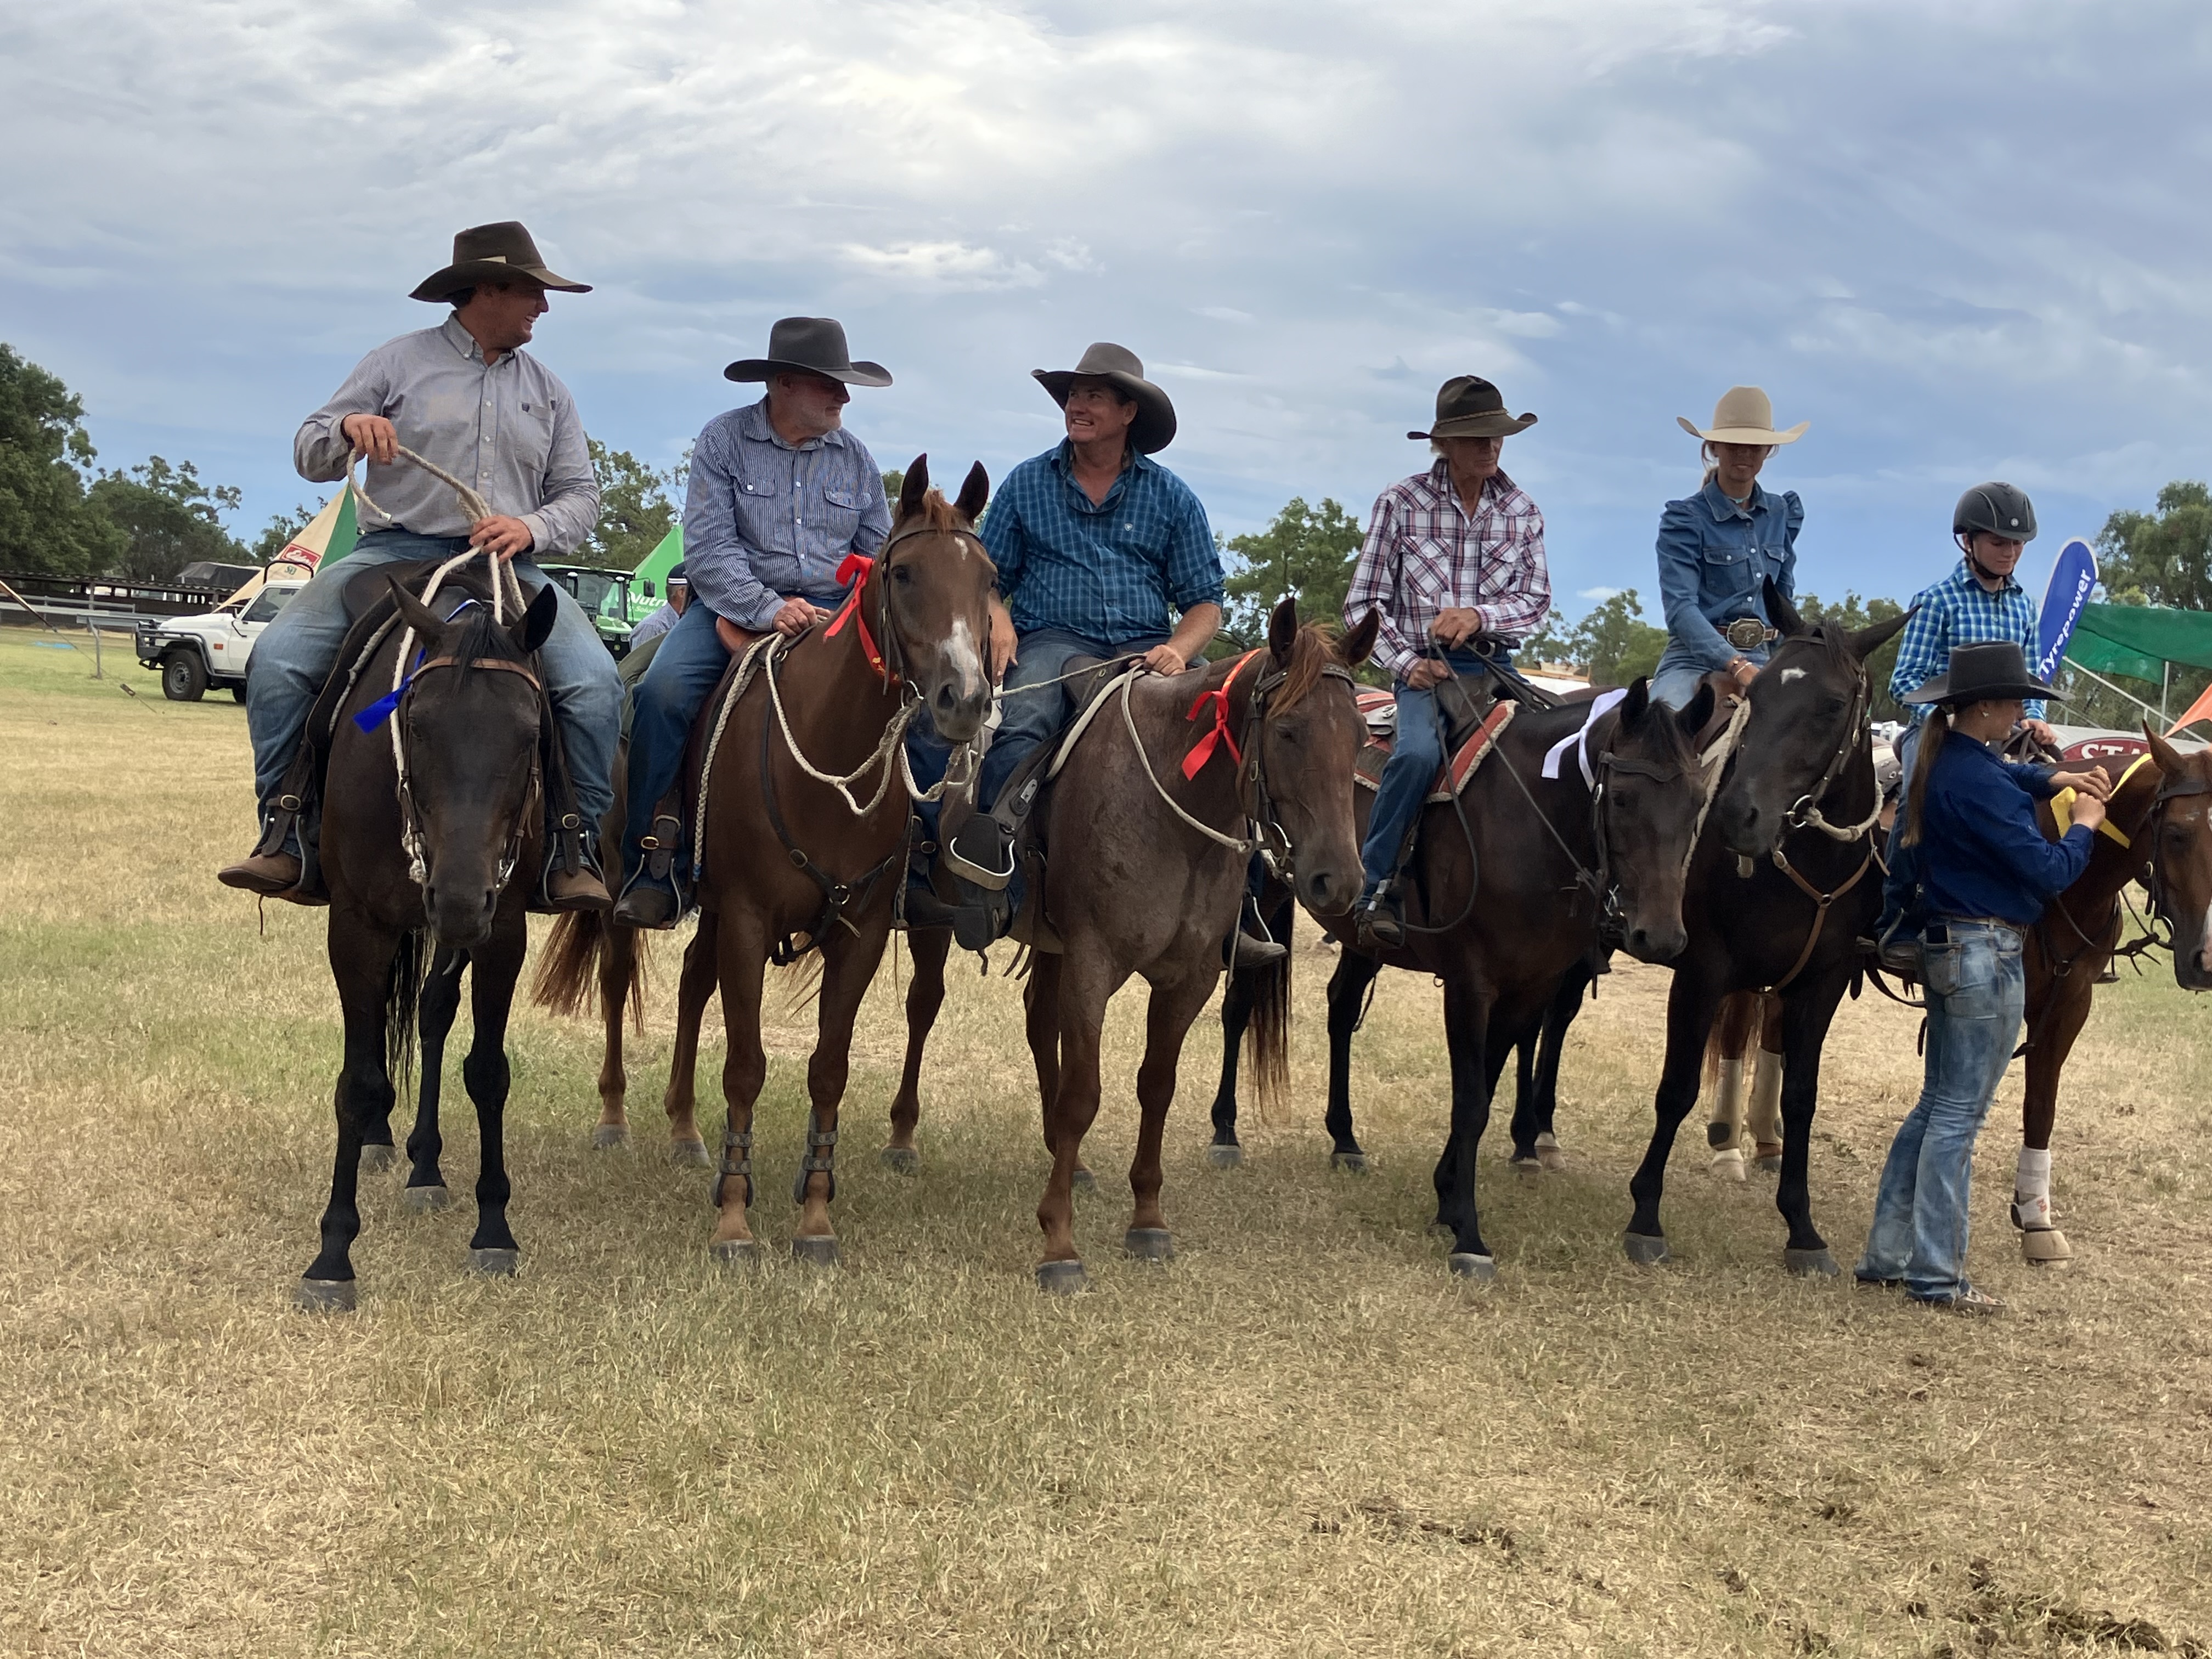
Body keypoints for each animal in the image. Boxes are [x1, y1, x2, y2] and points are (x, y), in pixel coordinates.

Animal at [297, 563, 562, 1310]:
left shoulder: (500, 929)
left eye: (530, 733)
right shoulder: (356, 925)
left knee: (433, 1013)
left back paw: (425, 1166)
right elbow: (356, 1082)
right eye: (416, 724)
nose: (460, 896)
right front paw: (333, 1255)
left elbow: (488, 1070)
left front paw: (494, 1227)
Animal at [533, 458, 996, 1264]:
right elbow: (746, 1065)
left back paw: (684, 1128)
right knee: (619, 981)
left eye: (989, 578)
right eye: (904, 573)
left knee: (693, 983)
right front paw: (734, 1218)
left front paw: (814, 1215)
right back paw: (615, 1120)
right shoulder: (751, 919)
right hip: (630, 887)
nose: (964, 699)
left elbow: (829, 1070)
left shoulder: (857, 934)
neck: (830, 760)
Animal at [1022, 601, 1377, 1291]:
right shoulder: (1090, 962)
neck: (1168, 810)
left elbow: (1157, 1086)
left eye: (1360, 736)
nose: (1340, 881)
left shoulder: (1189, 978)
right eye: (1288, 731)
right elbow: (1083, 1095)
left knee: (1039, 1023)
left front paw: (1147, 1220)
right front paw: (1059, 1243)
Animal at [1624, 587, 1912, 1274]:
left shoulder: (1820, 982)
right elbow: (1675, 1087)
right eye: (1760, 697)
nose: (1736, 815)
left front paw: (1802, 1228)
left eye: (1832, 705)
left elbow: (1801, 1097)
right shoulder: (1702, 971)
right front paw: (1646, 1216)